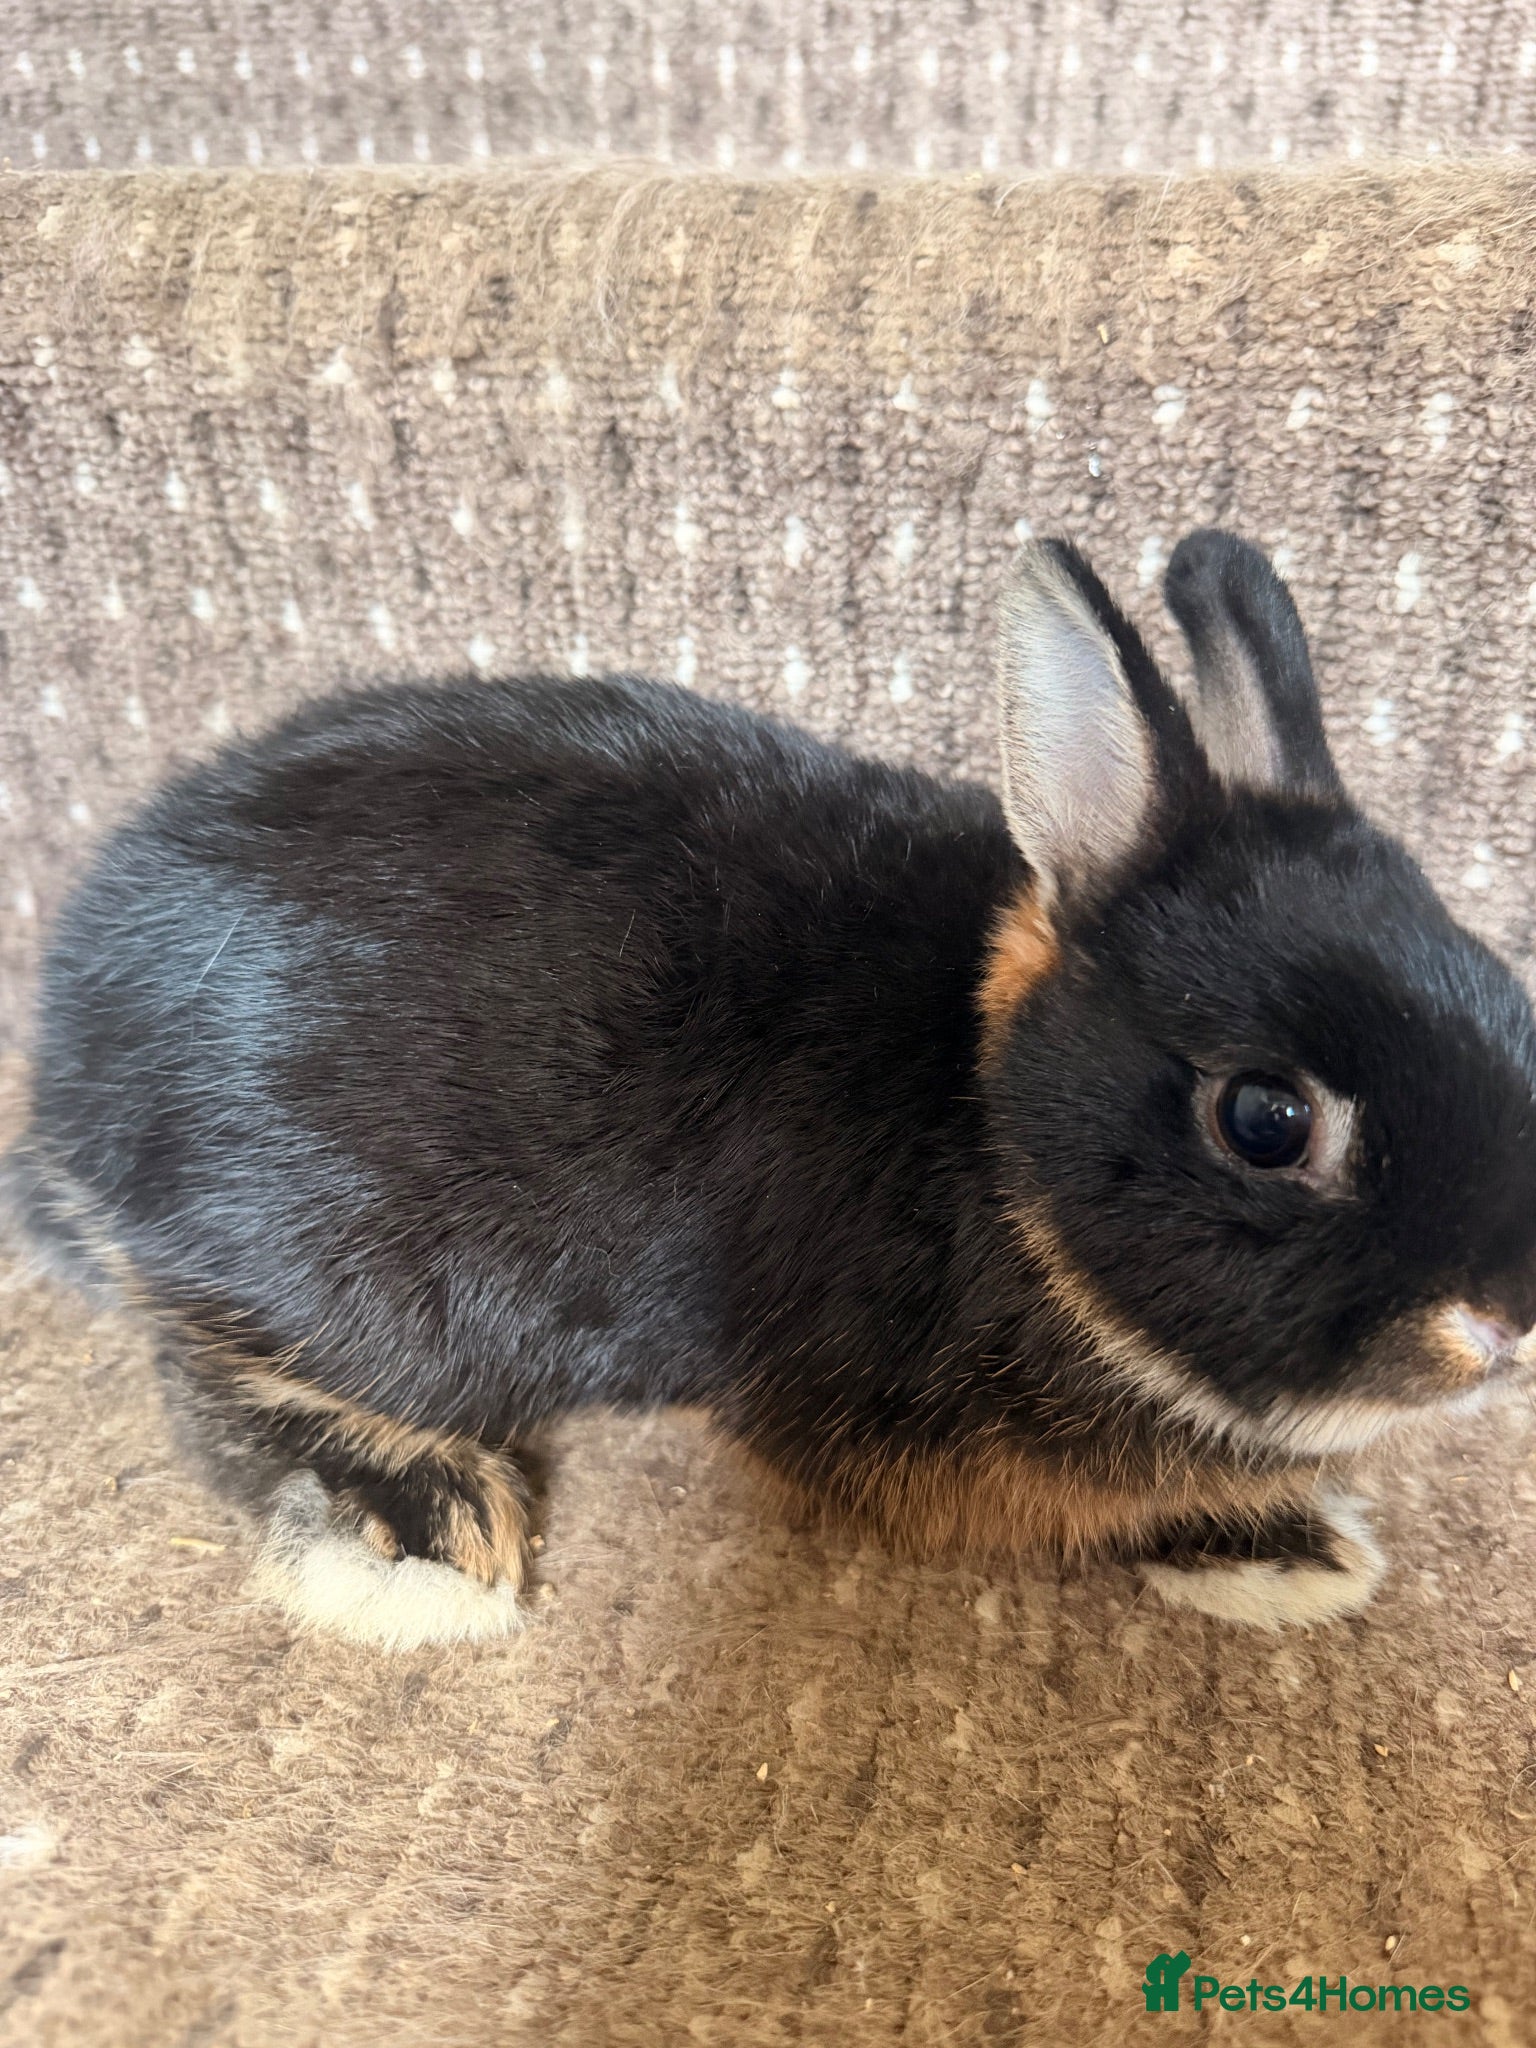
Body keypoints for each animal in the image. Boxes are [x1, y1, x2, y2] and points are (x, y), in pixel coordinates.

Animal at [8, 528, 1536, 1650]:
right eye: (1266, 1120)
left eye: (1507, 990)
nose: (1504, 1320)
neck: (989, 1124)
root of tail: (72, 1058)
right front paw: (1289, 1542)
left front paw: (1296, 1533)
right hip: (348, 1271)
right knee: (219, 1362)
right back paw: (414, 1531)